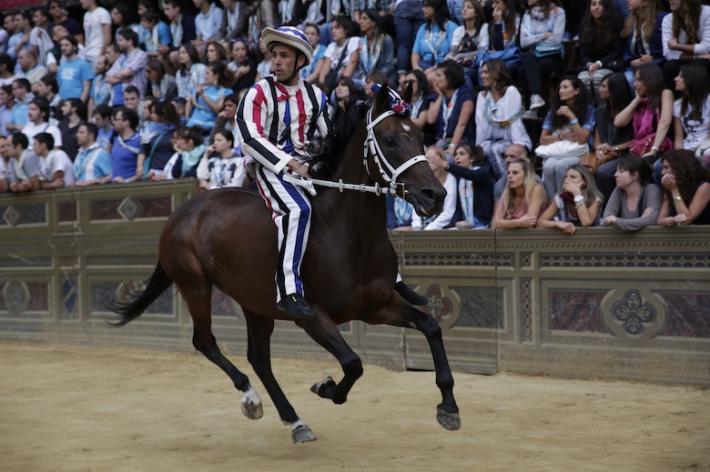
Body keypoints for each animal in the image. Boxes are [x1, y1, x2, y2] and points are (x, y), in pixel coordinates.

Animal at [112, 85, 462, 442]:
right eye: (389, 139)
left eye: (419, 136)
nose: (434, 194)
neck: (345, 233)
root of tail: (183, 212)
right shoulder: (311, 315)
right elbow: (353, 363)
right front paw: (326, 387)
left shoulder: (376, 306)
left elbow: (431, 327)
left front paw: (448, 407)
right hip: (195, 285)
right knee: (206, 342)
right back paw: (251, 399)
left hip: (255, 303)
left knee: (259, 359)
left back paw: (294, 420)